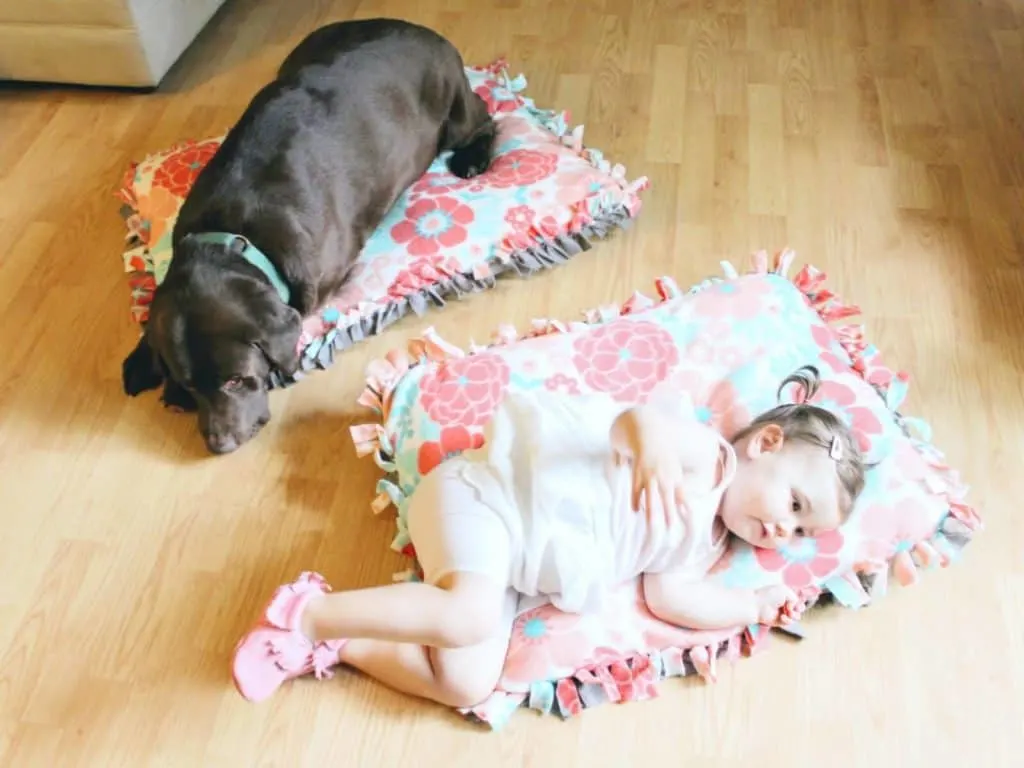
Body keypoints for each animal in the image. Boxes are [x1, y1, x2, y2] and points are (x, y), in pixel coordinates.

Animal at [119, 19, 495, 456]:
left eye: (236, 379)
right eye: (191, 384)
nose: (220, 444)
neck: (234, 237)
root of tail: (420, 29)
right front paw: (148, 364)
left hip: (455, 110)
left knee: (488, 119)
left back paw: (472, 157)